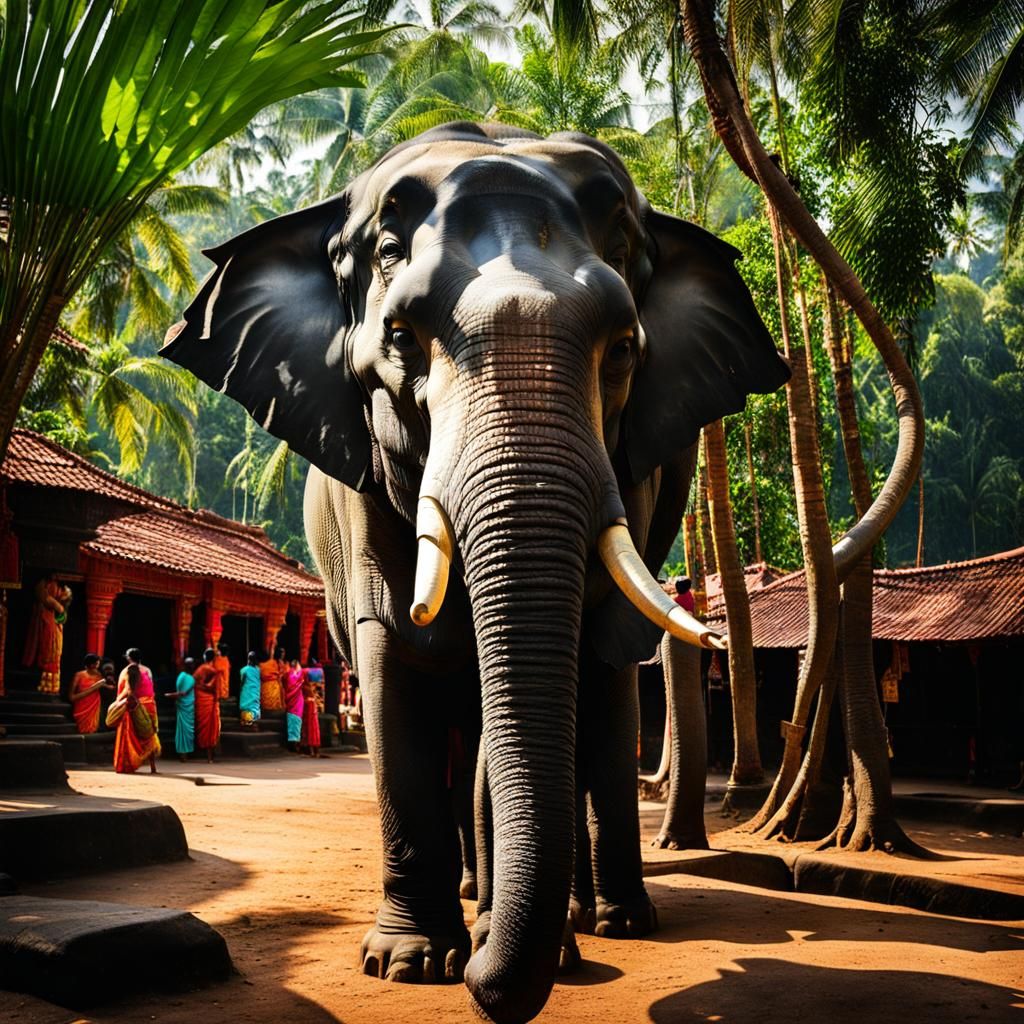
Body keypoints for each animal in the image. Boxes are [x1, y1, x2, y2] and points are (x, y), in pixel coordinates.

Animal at [162, 121, 789, 1024]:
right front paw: (410, 962)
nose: (483, 983)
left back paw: (610, 919)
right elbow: (399, 659)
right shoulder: (364, 491)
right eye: (401, 338)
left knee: (596, 691)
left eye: (624, 350)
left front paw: (541, 953)